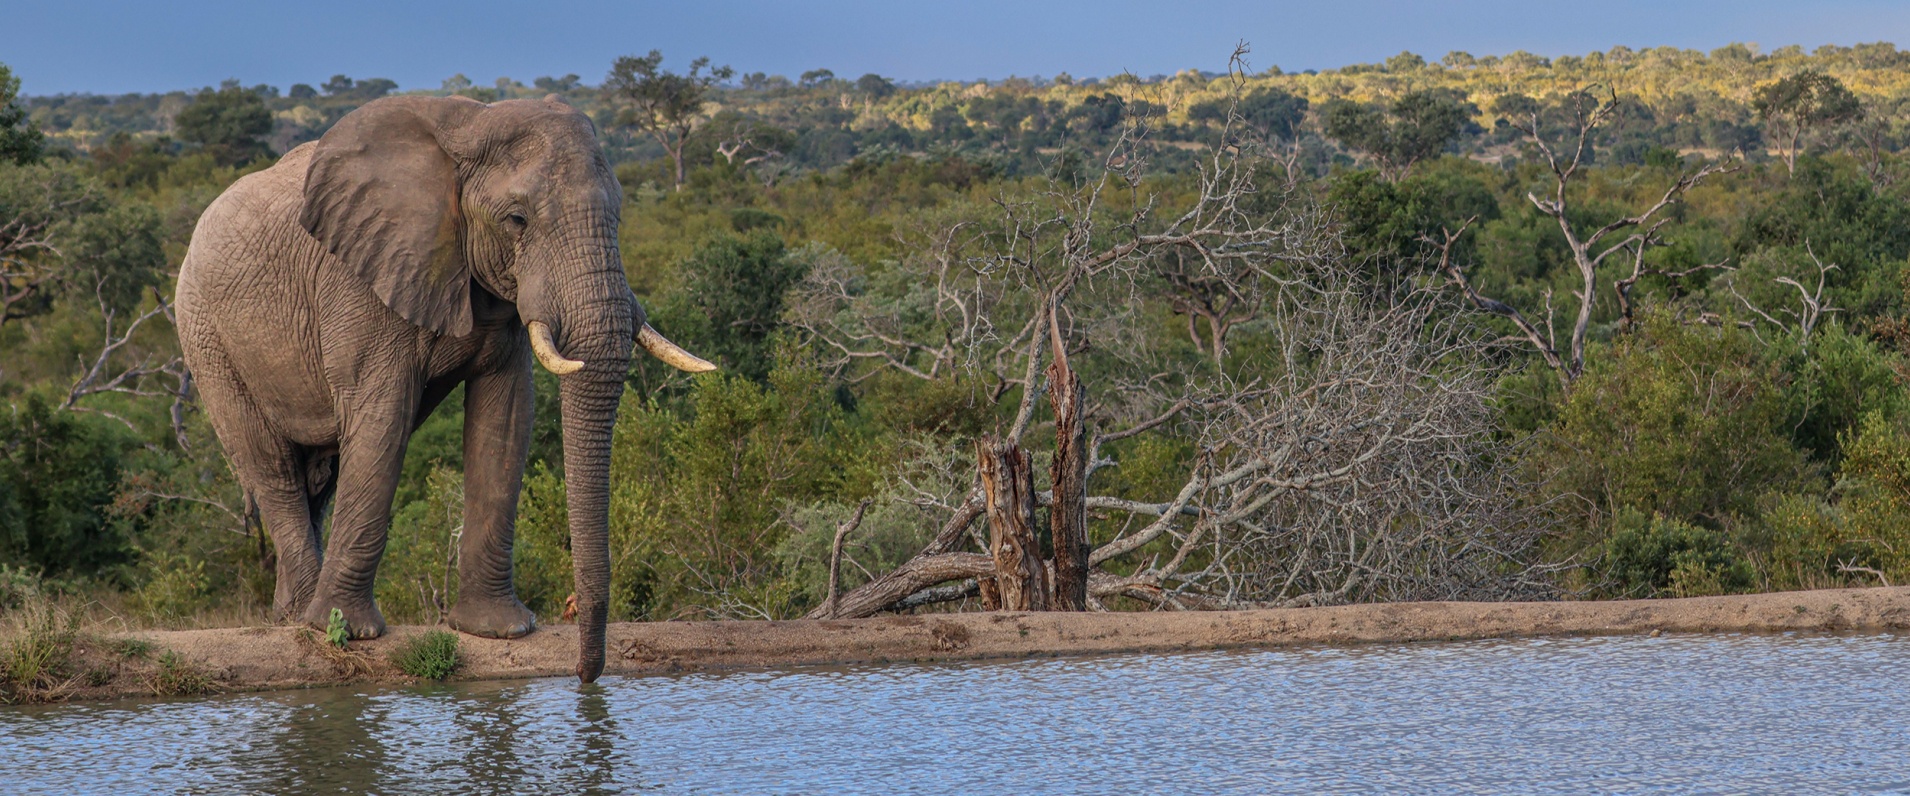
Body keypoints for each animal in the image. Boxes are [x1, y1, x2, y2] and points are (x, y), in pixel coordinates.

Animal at [175, 94, 712, 682]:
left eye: (617, 215)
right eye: (517, 220)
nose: (585, 675)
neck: (470, 125)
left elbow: (505, 421)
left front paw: (499, 629)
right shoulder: (361, 280)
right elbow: (382, 419)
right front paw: (349, 632)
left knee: (320, 476)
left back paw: (292, 615)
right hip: (206, 337)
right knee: (272, 468)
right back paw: (303, 620)